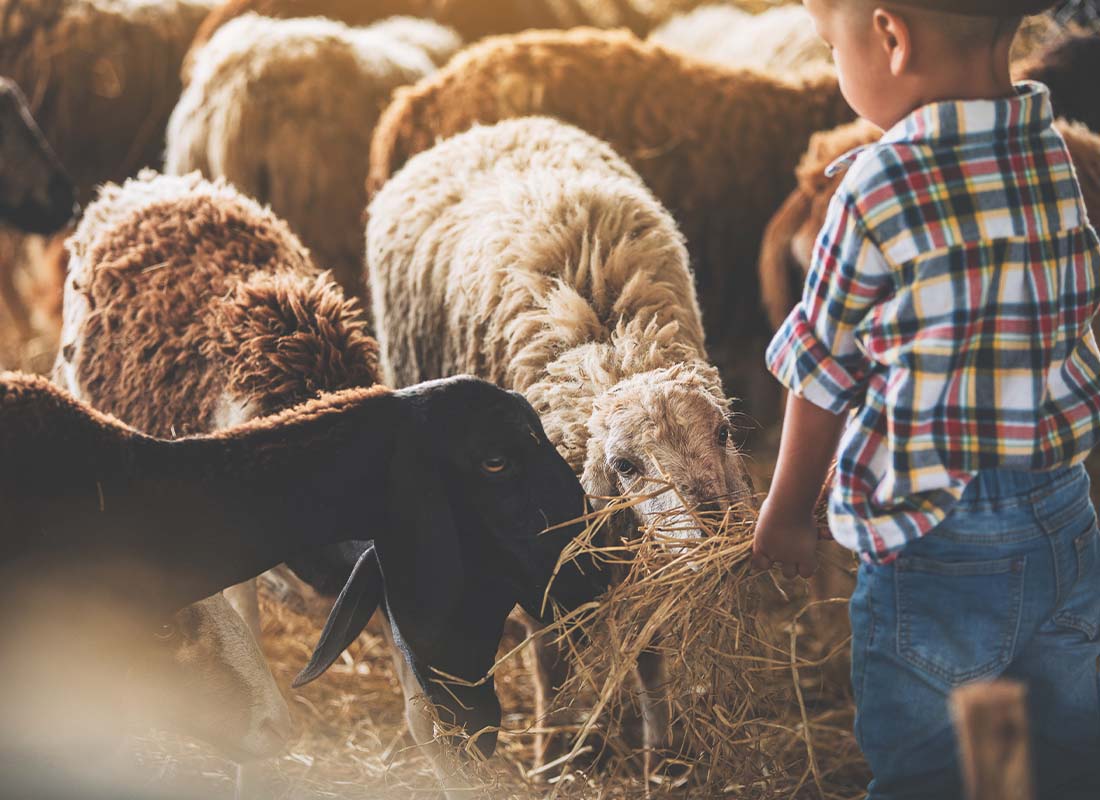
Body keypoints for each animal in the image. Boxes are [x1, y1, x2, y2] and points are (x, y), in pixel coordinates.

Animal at [369, 117, 756, 770]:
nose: (716, 538)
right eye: (624, 465)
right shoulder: (534, 539)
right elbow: (549, 655)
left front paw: (659, 750)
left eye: (722, 433)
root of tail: (484, 128)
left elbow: (649, 648)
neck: (610, 342)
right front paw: (552, 751)